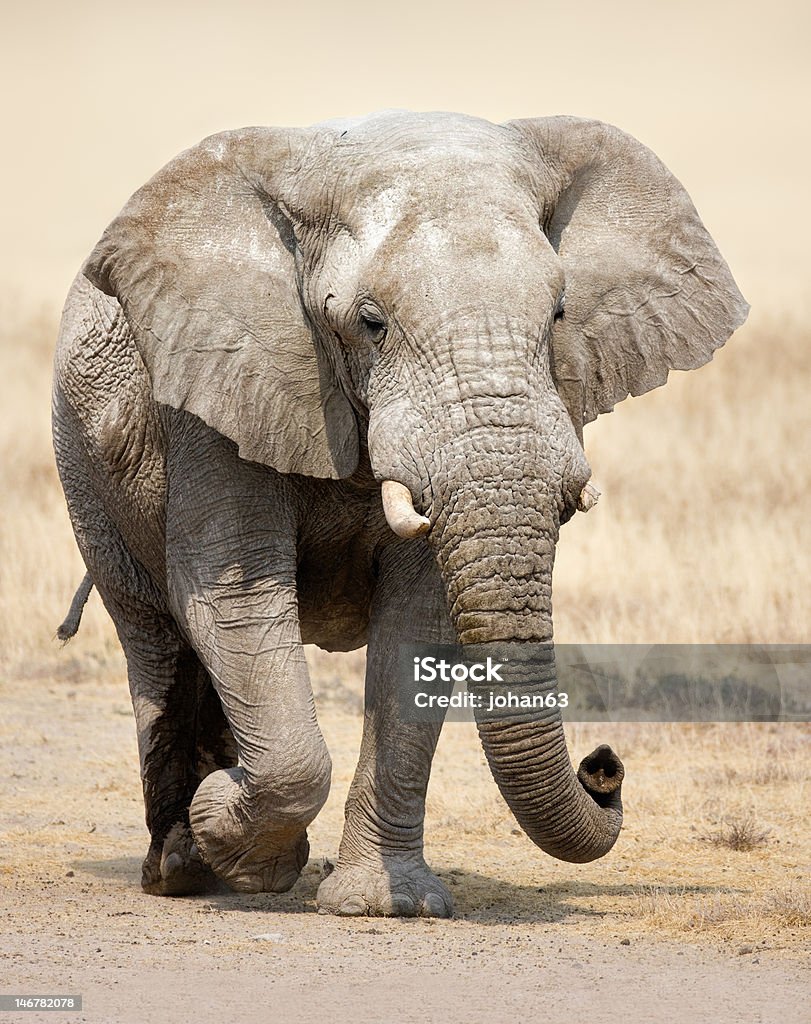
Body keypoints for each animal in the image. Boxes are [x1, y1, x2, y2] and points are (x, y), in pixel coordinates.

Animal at [52, 108, 749, 917]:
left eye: (558, 314)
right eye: (370, 322)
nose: (603, 766)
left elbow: (417, 621)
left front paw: (384, 904)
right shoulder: (214, 388)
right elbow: (235, 599)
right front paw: (240, 840)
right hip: (86, 469)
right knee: (157, 636)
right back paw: (183, 869)